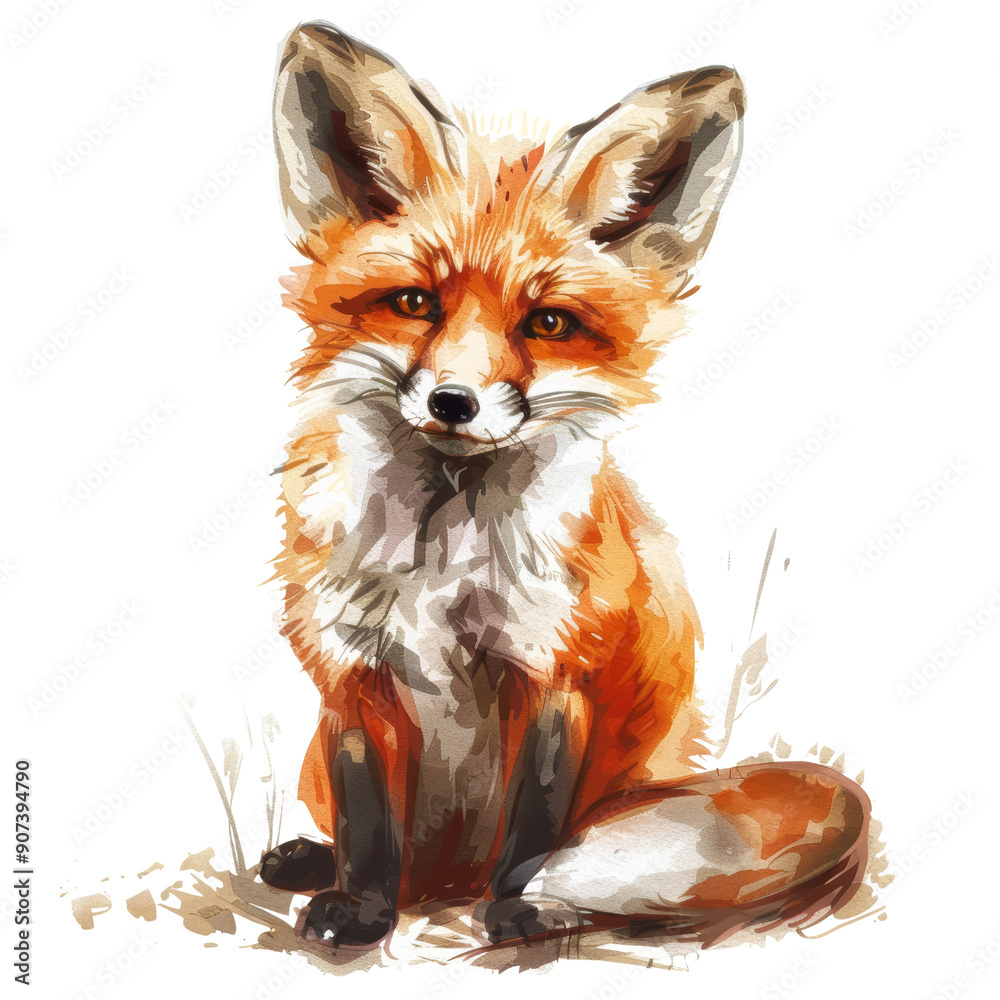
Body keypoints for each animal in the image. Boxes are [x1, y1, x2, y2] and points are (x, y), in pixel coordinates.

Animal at [259, 21, 872, 954]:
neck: (444, 555)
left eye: (547, 322)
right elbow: (367, 823)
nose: (453, 401)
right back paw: (311, 864)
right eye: (414, 303)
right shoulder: (351, 673)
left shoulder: (553, 669)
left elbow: (535, 828)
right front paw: (361, 909)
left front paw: (519, 911)